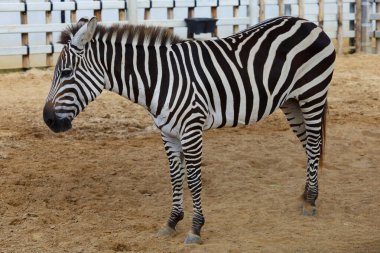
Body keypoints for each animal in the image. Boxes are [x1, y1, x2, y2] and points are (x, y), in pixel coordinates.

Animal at [42, 16, 336, 245]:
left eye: (66, 73)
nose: (47, 119)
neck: (160, 80)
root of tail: (310, 23)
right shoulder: (168, 133)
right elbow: (174, 177)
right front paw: (172, 222)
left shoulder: (191, 130)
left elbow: (193, 178)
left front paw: (195, 228)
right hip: (291, 102)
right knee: (309, 146)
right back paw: (306, 196)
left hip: (312, 94)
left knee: (314, 145)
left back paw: (311, 201)